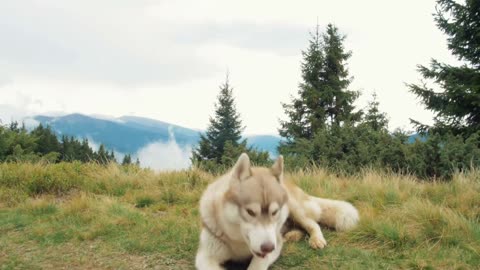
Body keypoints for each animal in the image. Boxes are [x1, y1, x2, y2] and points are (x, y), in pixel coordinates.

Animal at [196, 153, 360, 268]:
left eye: (274, 212)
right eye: (250, 212)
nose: (268, 247)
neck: (239, 242)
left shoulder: (272, 247)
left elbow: (256, 265)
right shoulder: (204, 257)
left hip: (295, 209)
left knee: (312, 224)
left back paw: (316, 239)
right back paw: (292, 235)